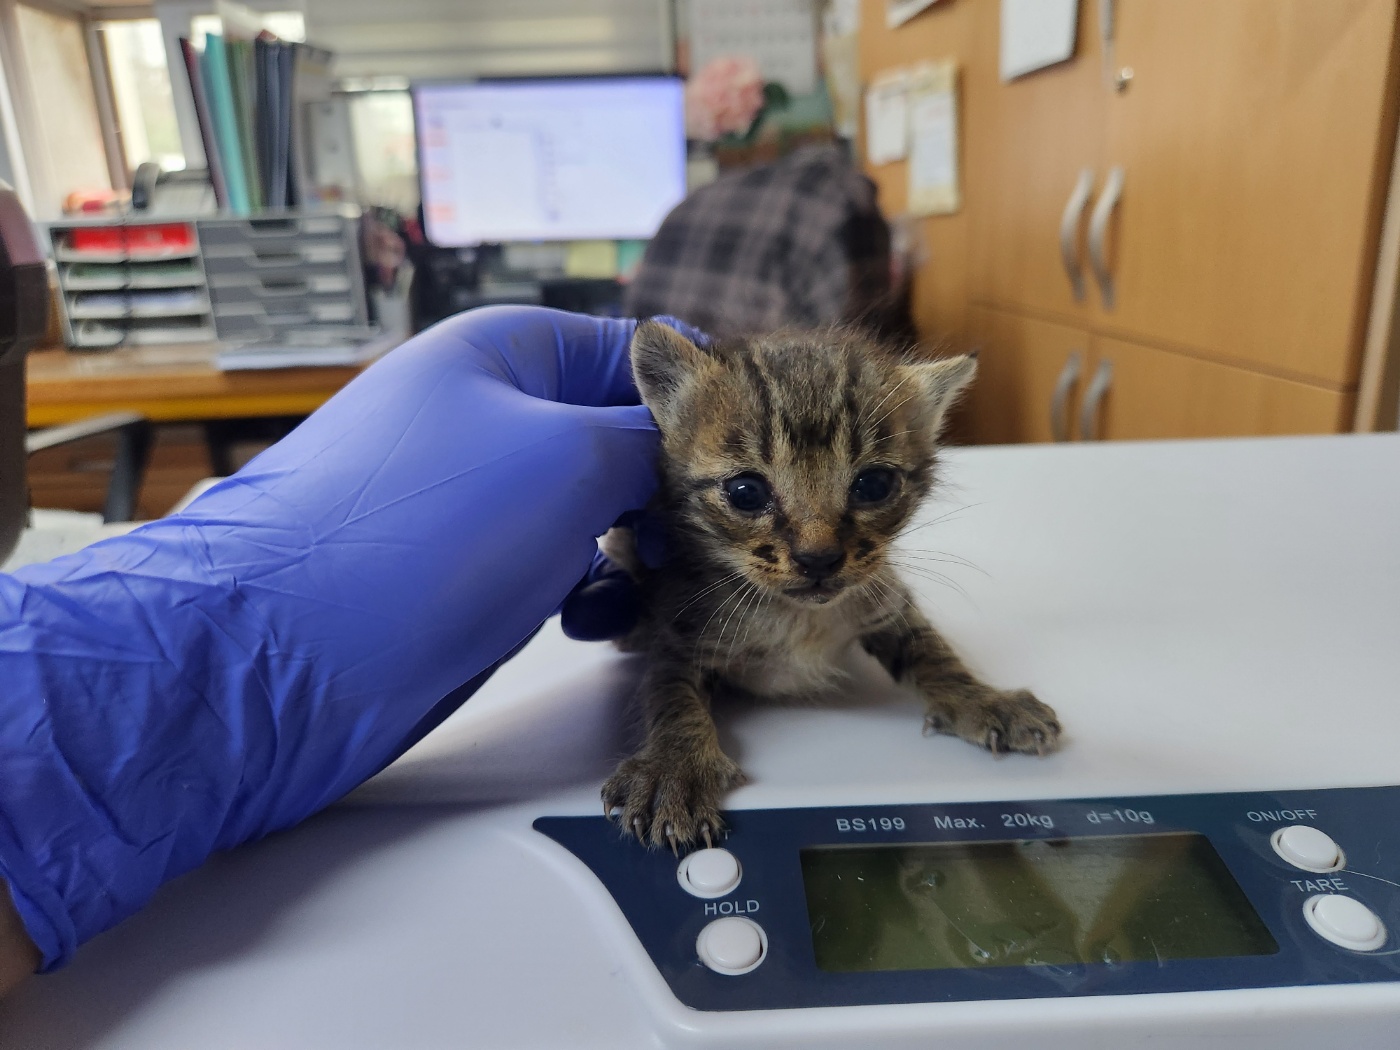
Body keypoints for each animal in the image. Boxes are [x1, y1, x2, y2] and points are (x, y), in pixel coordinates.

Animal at [604, 324, 1058, 851]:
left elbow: (931, 650)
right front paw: (672, 769)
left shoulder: (881, 595)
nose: (818, 558)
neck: (798, 615)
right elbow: (669, 693)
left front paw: (983, 700)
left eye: (874, 485)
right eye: (745, 492)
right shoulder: (678, 625)